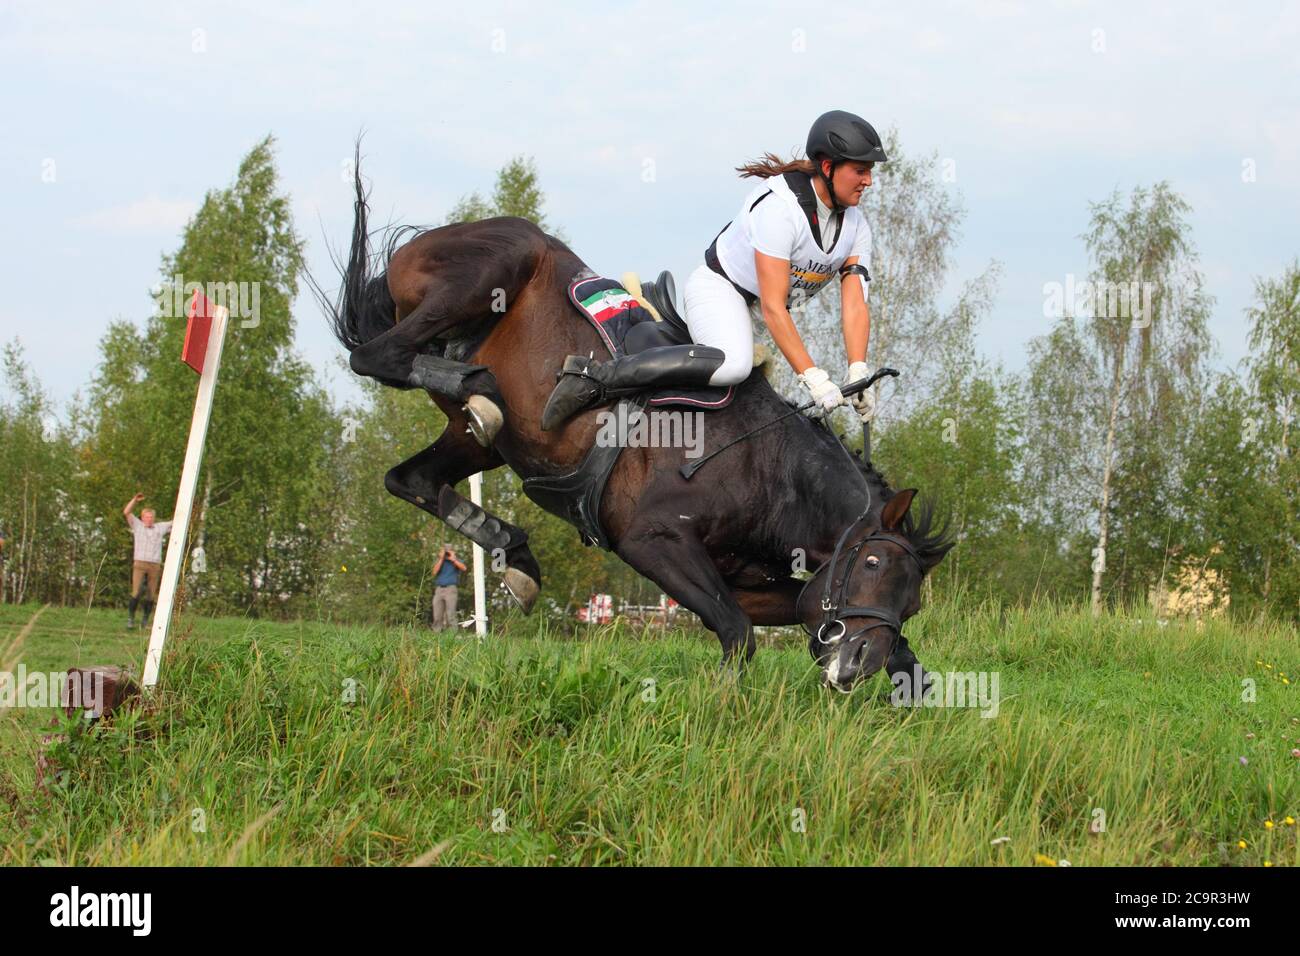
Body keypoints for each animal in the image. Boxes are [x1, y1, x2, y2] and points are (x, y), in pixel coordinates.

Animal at [315, 158, 951, 697]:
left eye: (911, 604)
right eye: (870, 566)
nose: (856, 667)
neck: (770, 471)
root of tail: (423, 242)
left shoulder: (752, 581)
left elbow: (800, 616)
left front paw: (914, 683)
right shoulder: (652, 540)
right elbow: (736, 632)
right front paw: (721, 708)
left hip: (480, 444)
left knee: (411, 478)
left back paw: (511, 544)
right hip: (494, 265)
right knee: (375, 357)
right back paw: (507, 389)